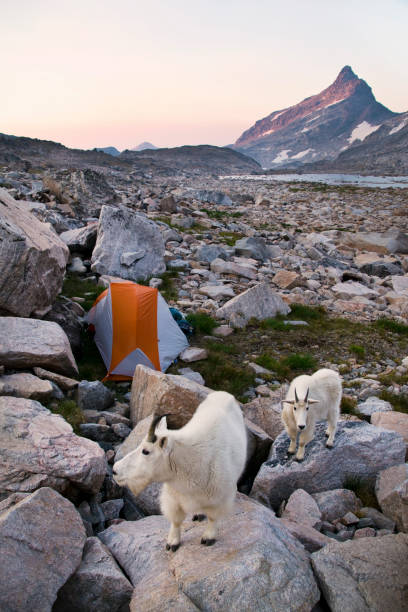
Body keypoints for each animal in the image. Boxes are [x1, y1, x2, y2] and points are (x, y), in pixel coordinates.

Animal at [111, 390, 245, 552]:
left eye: (146, 451)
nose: (115, 470)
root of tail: (223, 393)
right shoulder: (173, 497)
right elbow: (176, 521)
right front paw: (172, 543)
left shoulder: (220, 497)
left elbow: (213, 518)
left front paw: (208, 538)